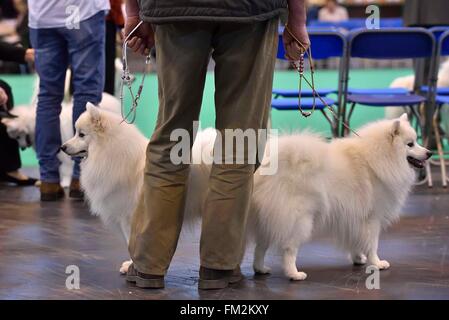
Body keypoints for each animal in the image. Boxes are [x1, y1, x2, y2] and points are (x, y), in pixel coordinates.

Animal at [252, 114, 430, 280]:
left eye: (417, 141)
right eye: (410, 144)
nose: (429, 153)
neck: (380, 157)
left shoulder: (355, 217)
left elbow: (356, 240)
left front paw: (358, 258)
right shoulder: (372, 218)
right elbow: (373, 244)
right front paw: (377, 263)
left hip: (268, 218)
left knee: (260, 246)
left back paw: (260, 268)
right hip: (300, 220)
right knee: (289, 248)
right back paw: (294, 274)